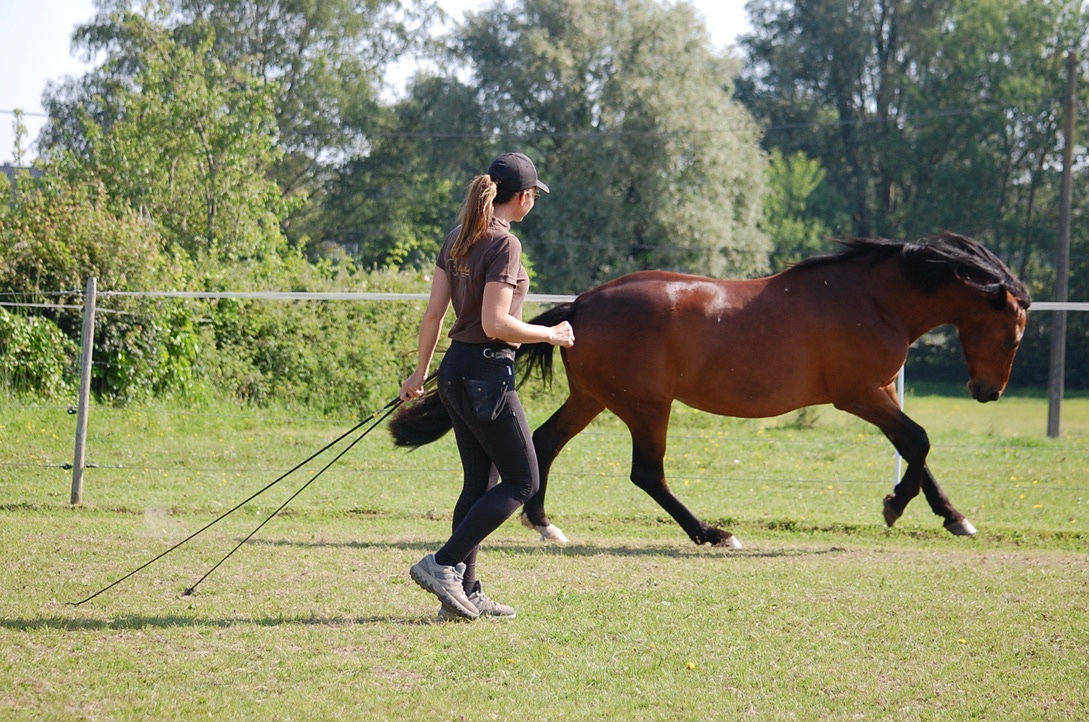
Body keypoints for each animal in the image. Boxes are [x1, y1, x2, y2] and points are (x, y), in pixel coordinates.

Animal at [391, 232, 1031, 548]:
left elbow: (915, 448)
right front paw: (900, 507)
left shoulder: (879, 393)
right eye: (1012, 334)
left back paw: (545, 524)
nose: (987, 392)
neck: (870, 299)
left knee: (544, 445)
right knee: (647, 474)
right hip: (646, 407)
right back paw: (711, 533)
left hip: (594, 399)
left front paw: (951, 517)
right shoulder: (860, 394)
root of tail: (582, 306)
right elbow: (918, 442)